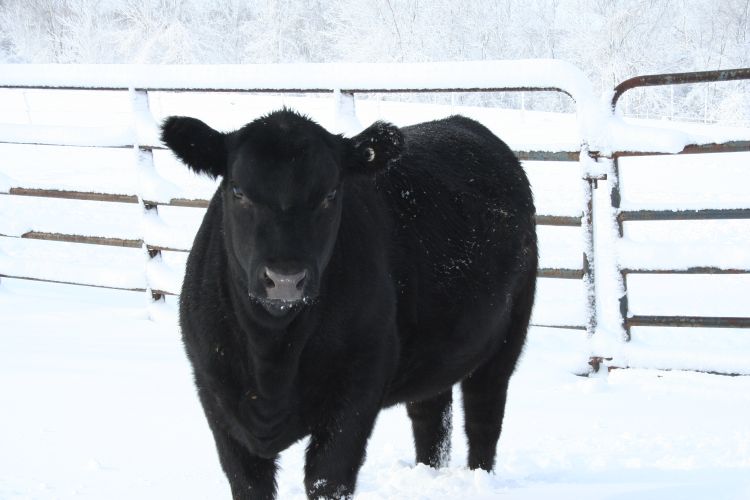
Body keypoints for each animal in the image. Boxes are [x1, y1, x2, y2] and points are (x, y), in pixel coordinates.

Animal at [163, 110, 540, 500]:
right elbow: (248, 483)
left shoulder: (358, 387)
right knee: (431, 416)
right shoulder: (215, 395)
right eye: (238, 190)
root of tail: (464, 122)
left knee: (484, 417)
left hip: (507, 338)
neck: (272, 358)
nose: (285, 278)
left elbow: (328, 478)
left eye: (330, 194)